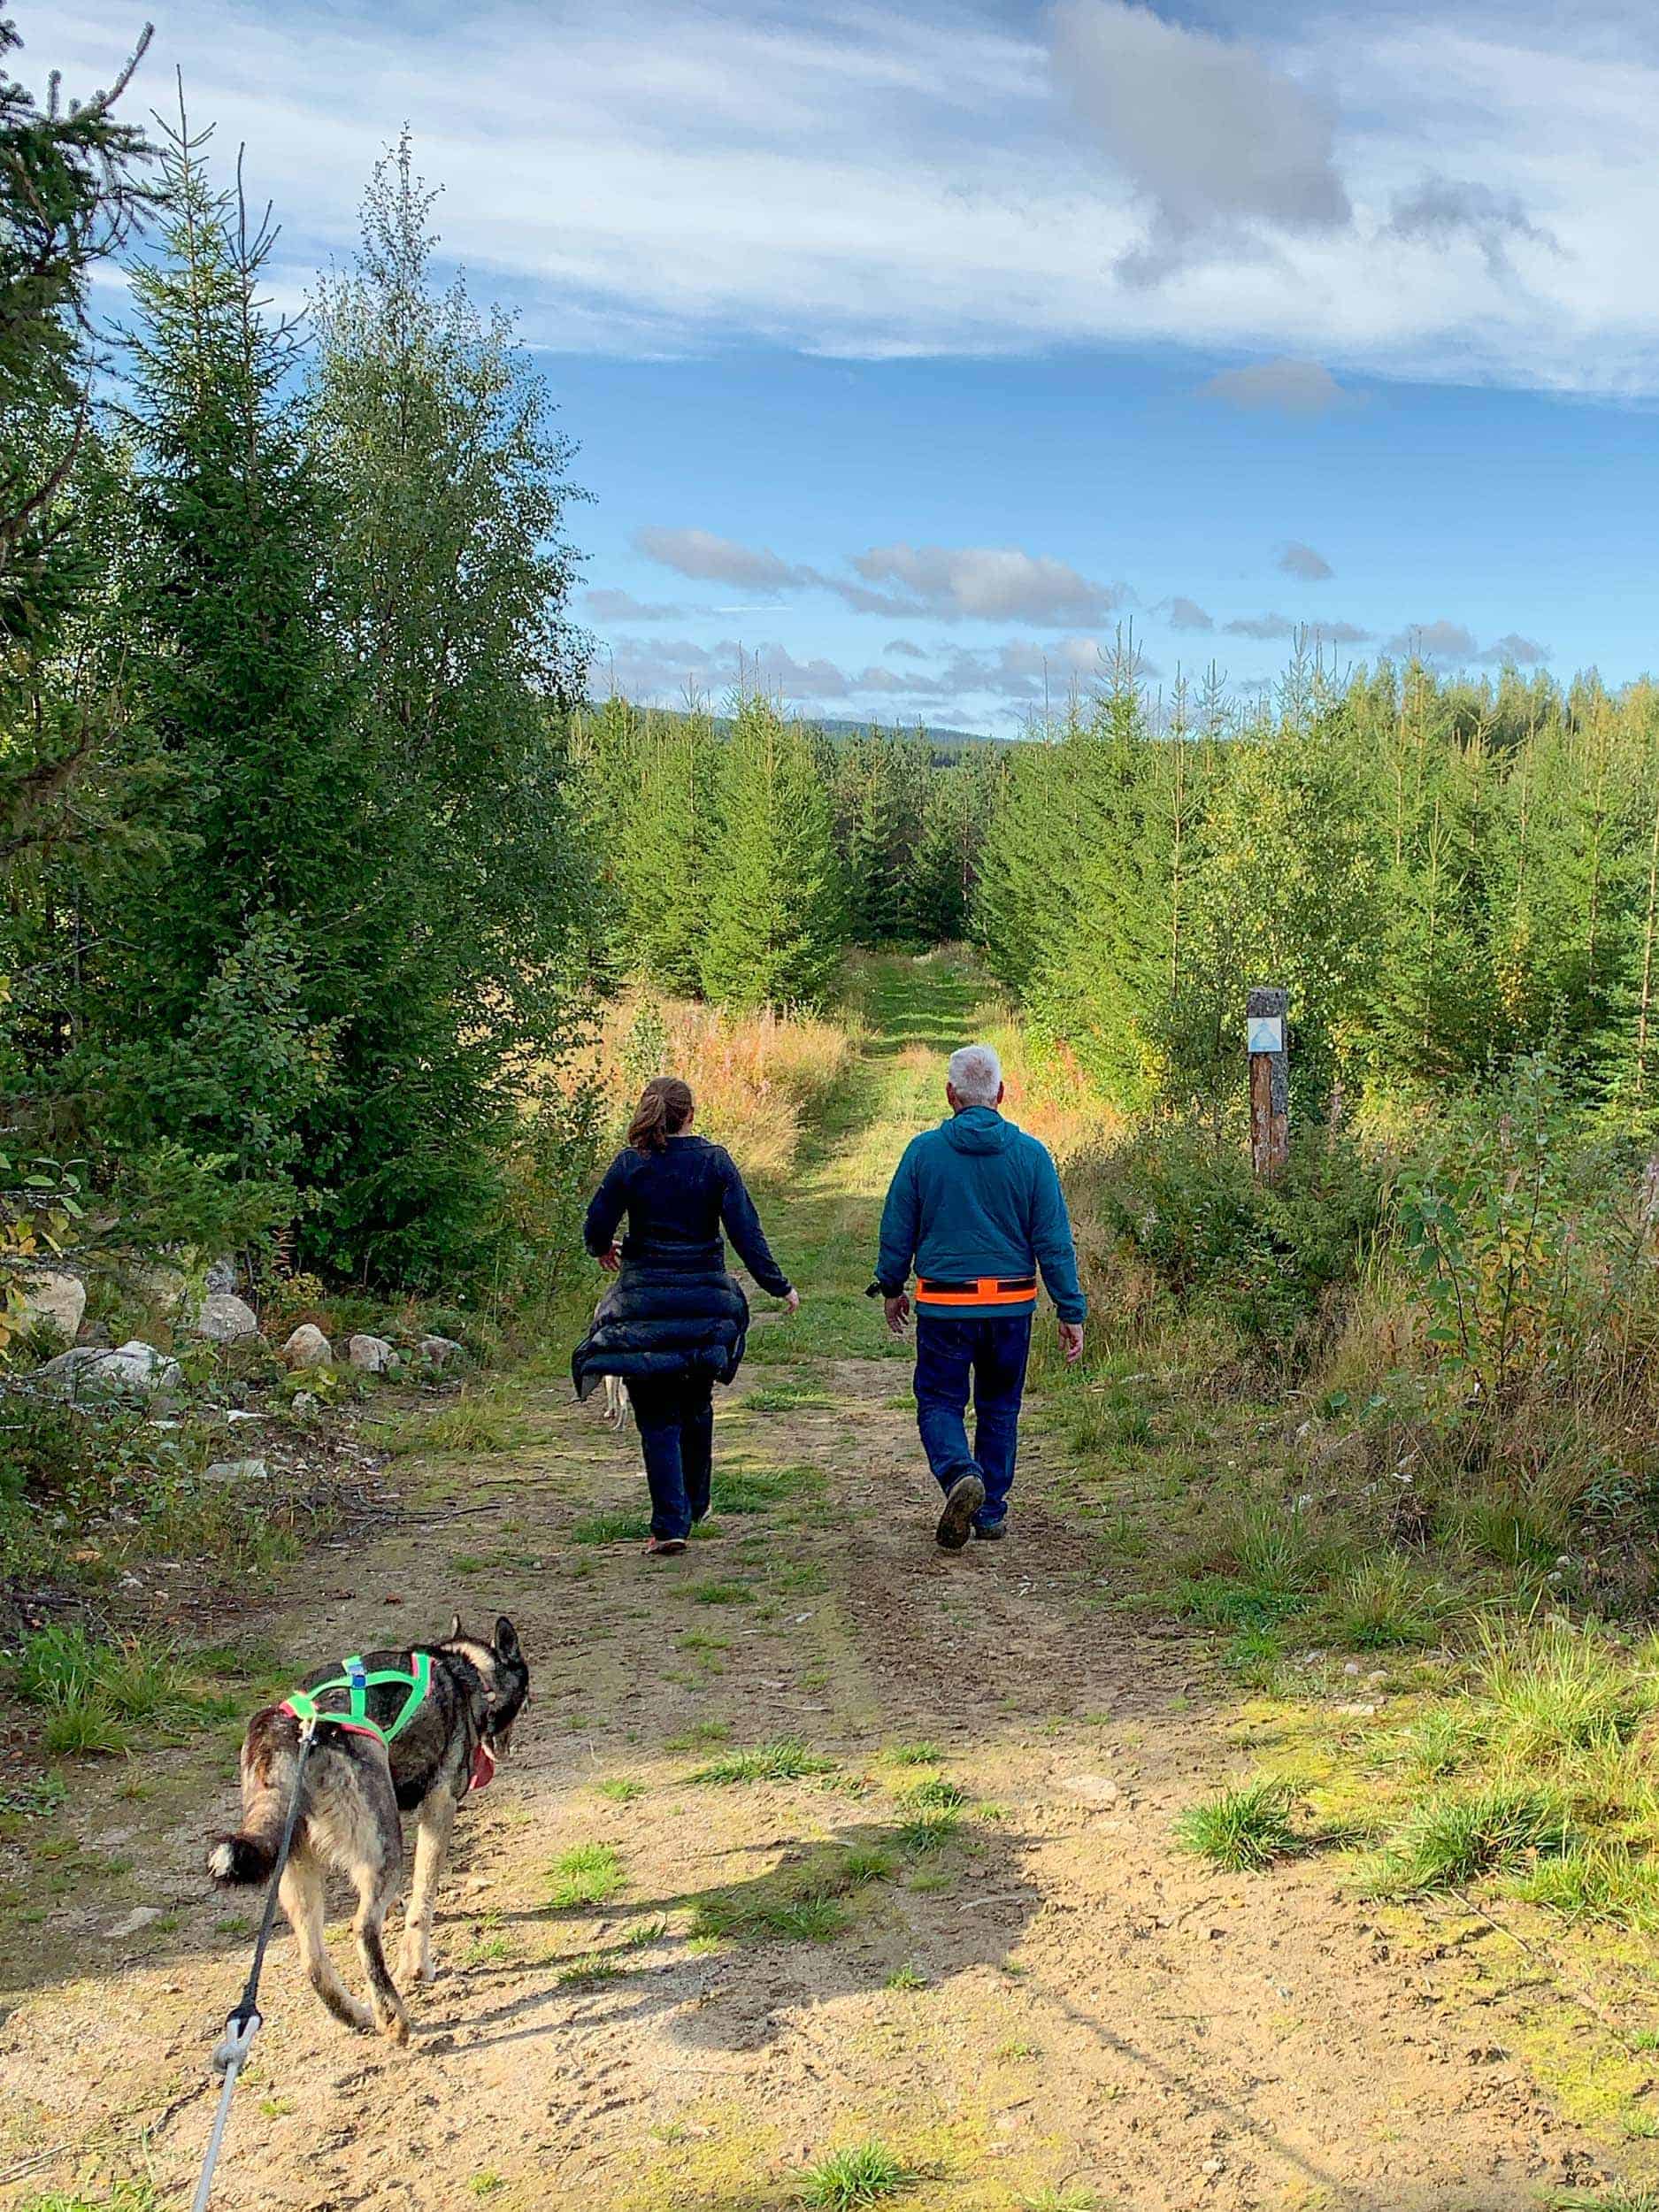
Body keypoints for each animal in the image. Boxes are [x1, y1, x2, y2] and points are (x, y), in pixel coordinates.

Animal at [208, 1619, 528, 2044]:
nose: (505, 1750)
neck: (466, 1671)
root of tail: (292, 1727)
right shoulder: (439, 1807)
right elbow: (424, 1899)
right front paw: (417, 1964)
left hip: (298, 1871)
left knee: (313, 1958)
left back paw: (359, 2015)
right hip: (384, 1853)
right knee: (362, 1929)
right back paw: (394, 2018)